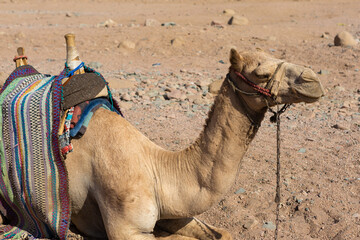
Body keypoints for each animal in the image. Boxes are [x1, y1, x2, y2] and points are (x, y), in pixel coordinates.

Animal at [4, 35, 324, 240]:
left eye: (278, 56)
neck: (158, 167)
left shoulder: (175, 211)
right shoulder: (127, 228)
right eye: (261, 73)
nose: (314, 80)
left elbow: (223, 233)